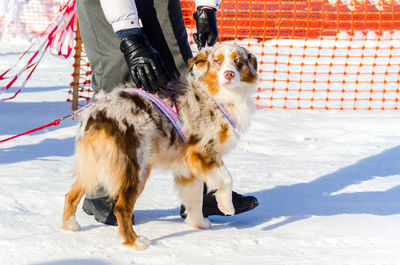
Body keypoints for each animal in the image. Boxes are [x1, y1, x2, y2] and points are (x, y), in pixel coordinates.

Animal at [61, 43, 258, 250]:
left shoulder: (187, 166)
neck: (216, 95)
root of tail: (98, 115)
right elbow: (227, 178)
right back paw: (135, 241)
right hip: (137, 167)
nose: (229, 74)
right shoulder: (204, 151)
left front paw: (198, 223)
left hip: (92, 164)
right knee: (122, 207)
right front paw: (227, 206)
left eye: (238, 60)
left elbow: (195, 196)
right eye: (217, 61)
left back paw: (70, 226)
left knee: (71, 195)